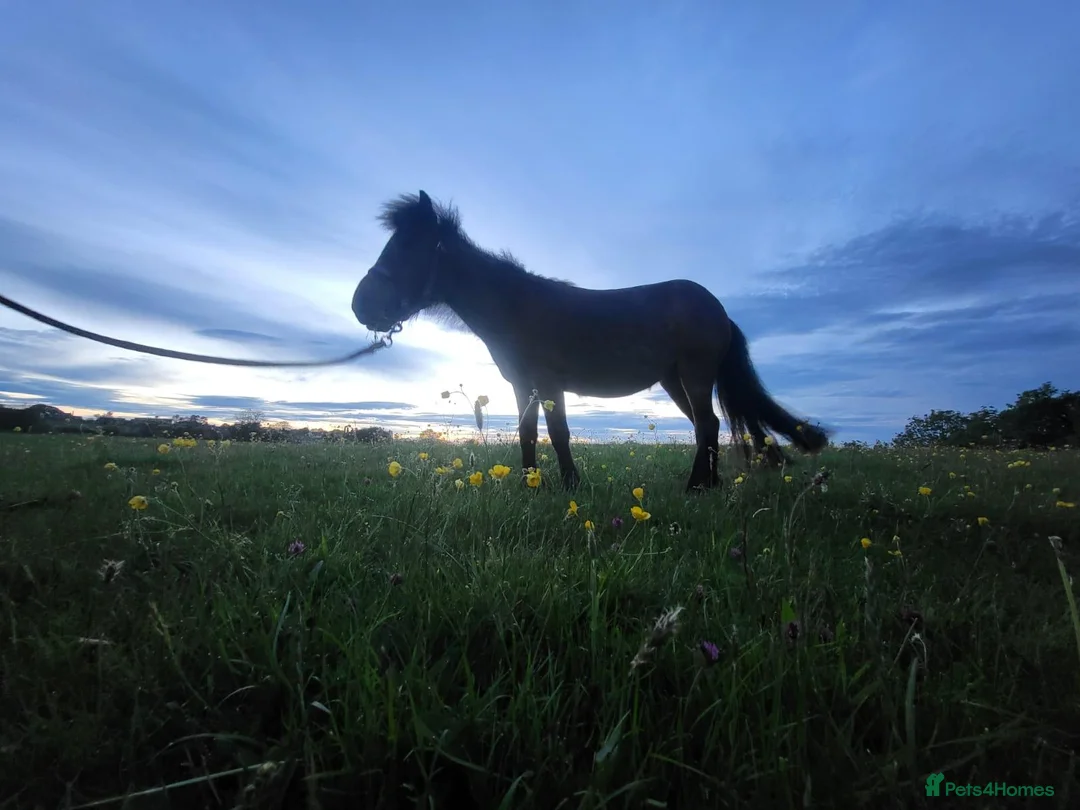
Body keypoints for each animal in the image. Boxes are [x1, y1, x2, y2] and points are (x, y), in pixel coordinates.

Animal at [351, 190, 830, 492]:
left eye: (409, 247)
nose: (361, 305)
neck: (516, 306)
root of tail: (720, 310)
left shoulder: (549, 383)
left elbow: (558, 432)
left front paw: (569, 484)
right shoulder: (523, 385)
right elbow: (529, 433)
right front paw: (530, 486)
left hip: (694, 376)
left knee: (708, 425)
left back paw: (696, 487)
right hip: (675, 380)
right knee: (704, 426)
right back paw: (707, 484)